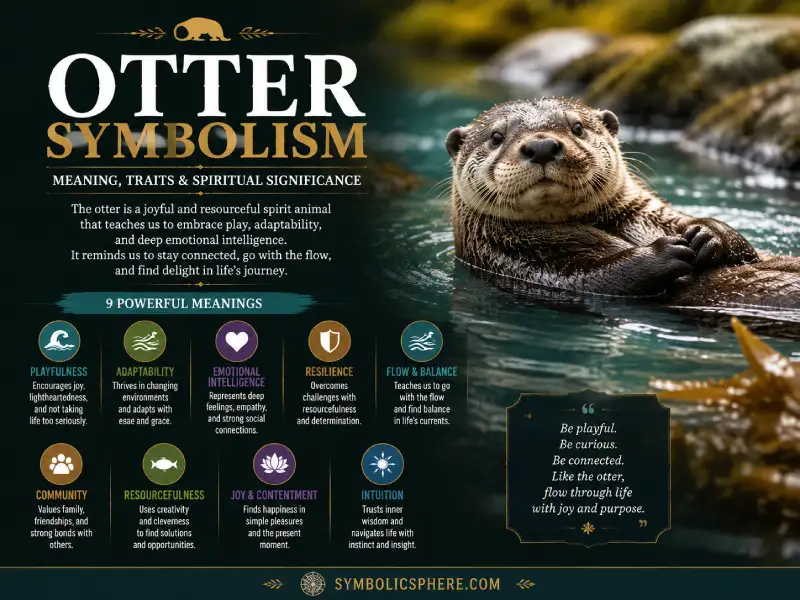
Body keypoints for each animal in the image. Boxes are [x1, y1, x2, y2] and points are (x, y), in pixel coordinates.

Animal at [446, 98, 800, 331]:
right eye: (496, 137)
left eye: (577, 127)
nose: (543, 145)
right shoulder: (529, 260)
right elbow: (599, 276)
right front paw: (661, 254)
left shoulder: (651, 213)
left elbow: (747, 250)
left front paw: (708, 233)